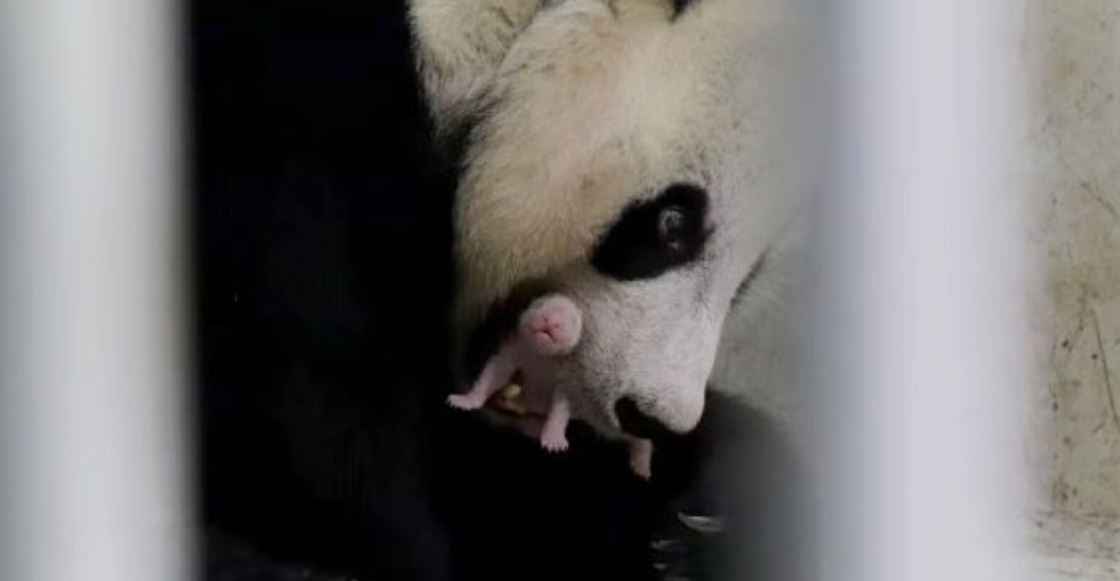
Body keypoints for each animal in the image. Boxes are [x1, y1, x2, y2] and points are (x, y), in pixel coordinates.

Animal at [195, 0, 810, 580]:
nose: (651, 416)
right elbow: (321, 421)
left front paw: (703, 516)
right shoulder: (289, 111)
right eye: (673, 224)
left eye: (744, 283)